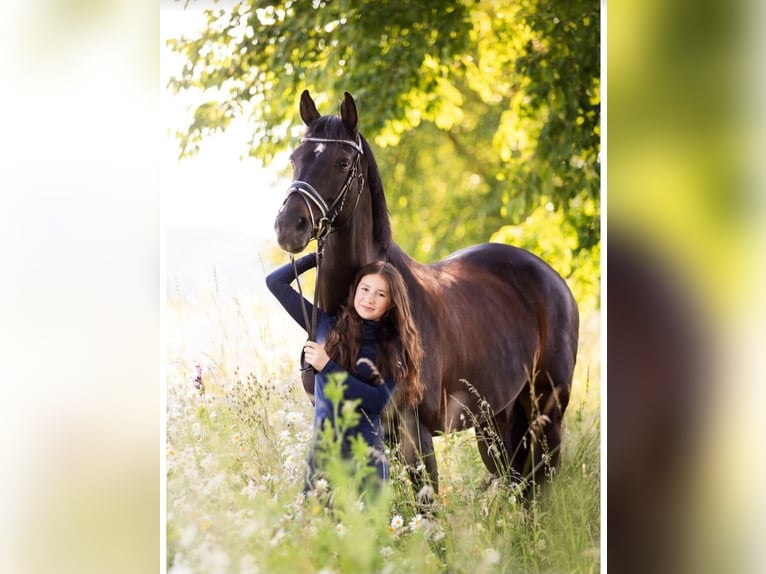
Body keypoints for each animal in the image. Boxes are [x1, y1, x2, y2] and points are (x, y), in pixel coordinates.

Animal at [272, 91, 580, 500]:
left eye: (342, 162)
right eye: (295, 157)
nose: (289, 226)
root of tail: (553, 278)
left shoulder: (414, 433)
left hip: (547, 410)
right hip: (497, 419)